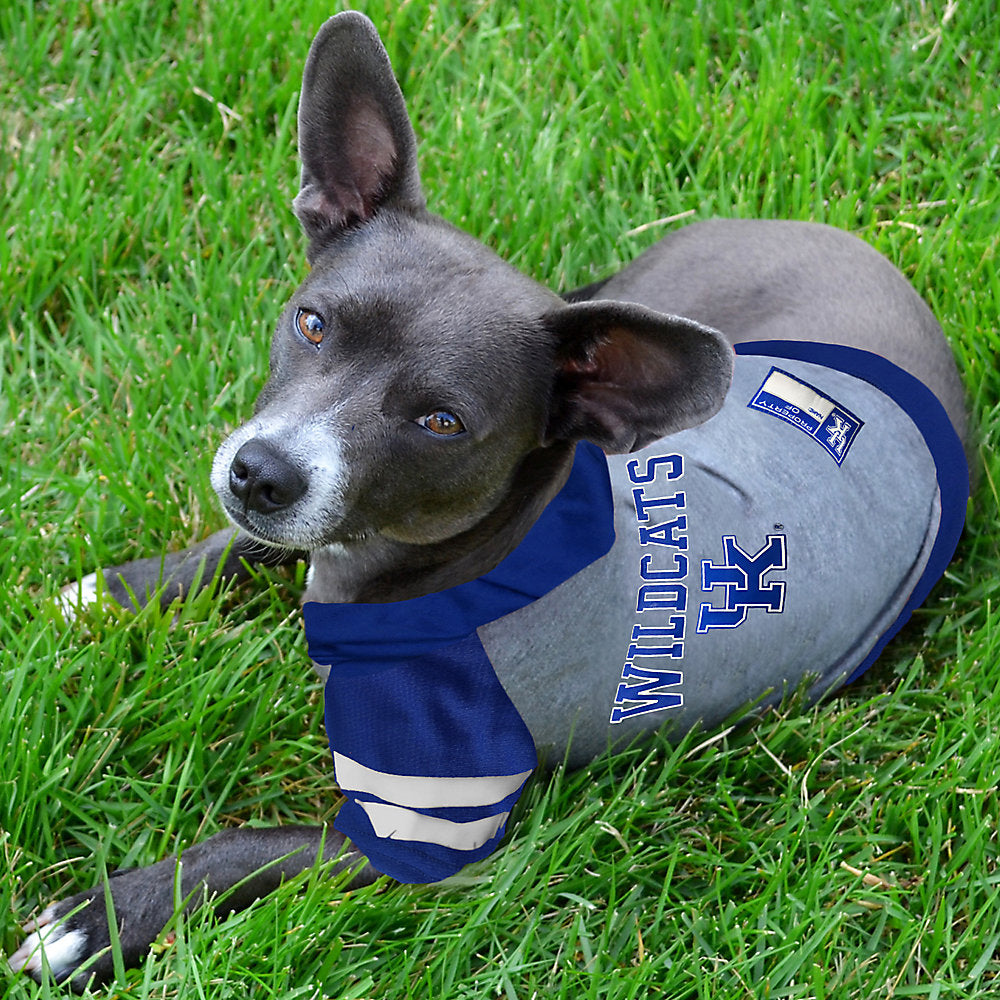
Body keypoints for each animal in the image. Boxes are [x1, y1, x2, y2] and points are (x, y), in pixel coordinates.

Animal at [9, 7, 968, 988]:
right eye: (312, 323)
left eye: (441, 422)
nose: (260, 472)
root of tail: (838, 236)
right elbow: (238, 543)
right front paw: (116, 592)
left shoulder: (414, 832)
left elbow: (244, 847)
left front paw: (97, 920)